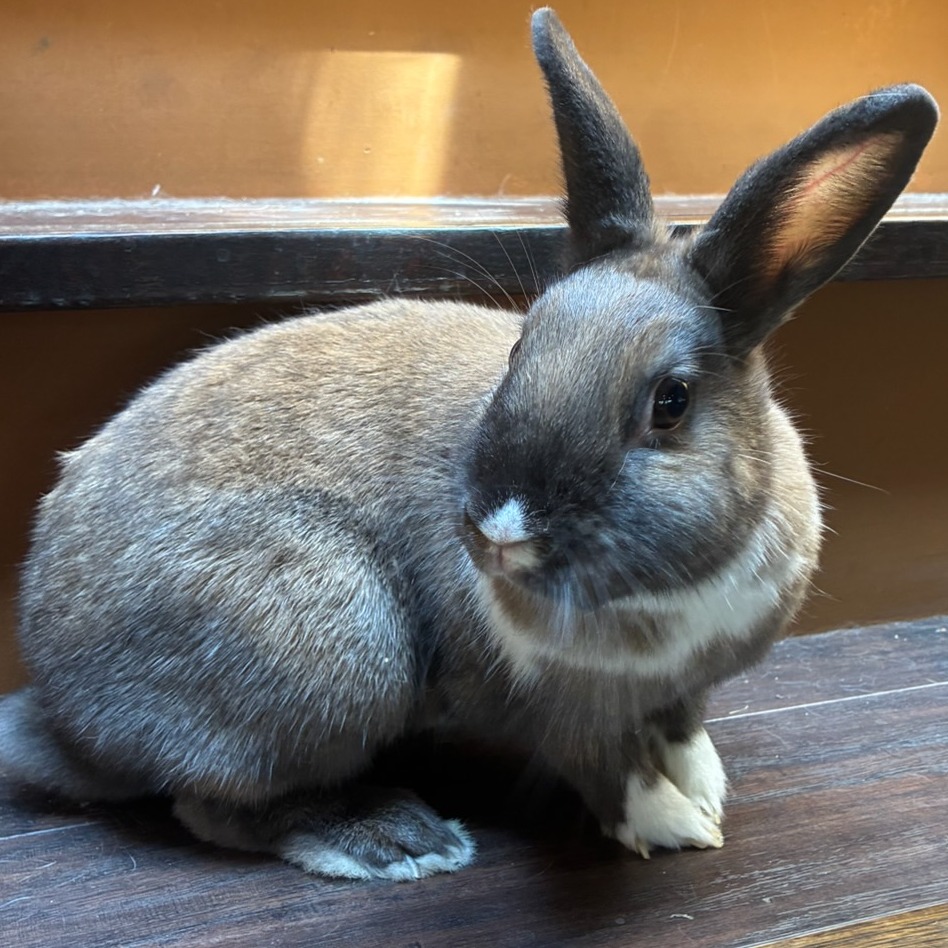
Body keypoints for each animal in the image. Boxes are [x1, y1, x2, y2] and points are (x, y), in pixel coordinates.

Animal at [0, 7, 938, 882]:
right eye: (522, 348)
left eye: (670, 404)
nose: (501, 531)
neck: (667, 598)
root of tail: (62, 709)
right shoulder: (557, 710)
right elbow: (607, 770)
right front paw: (677, 826)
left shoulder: (685, 688)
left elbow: (680, 725)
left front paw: (705, 786)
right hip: (339, 646)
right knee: (215, 805)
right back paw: (397, 838)